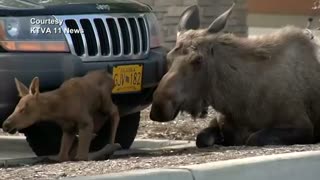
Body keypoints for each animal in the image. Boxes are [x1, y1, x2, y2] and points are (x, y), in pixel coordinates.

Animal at [151, 3, 320, 148]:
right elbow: (202, 138)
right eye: (168, 57)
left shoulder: (302, 125)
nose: (158, 108)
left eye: (198, 59)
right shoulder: (218, 121)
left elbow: (253, 138)